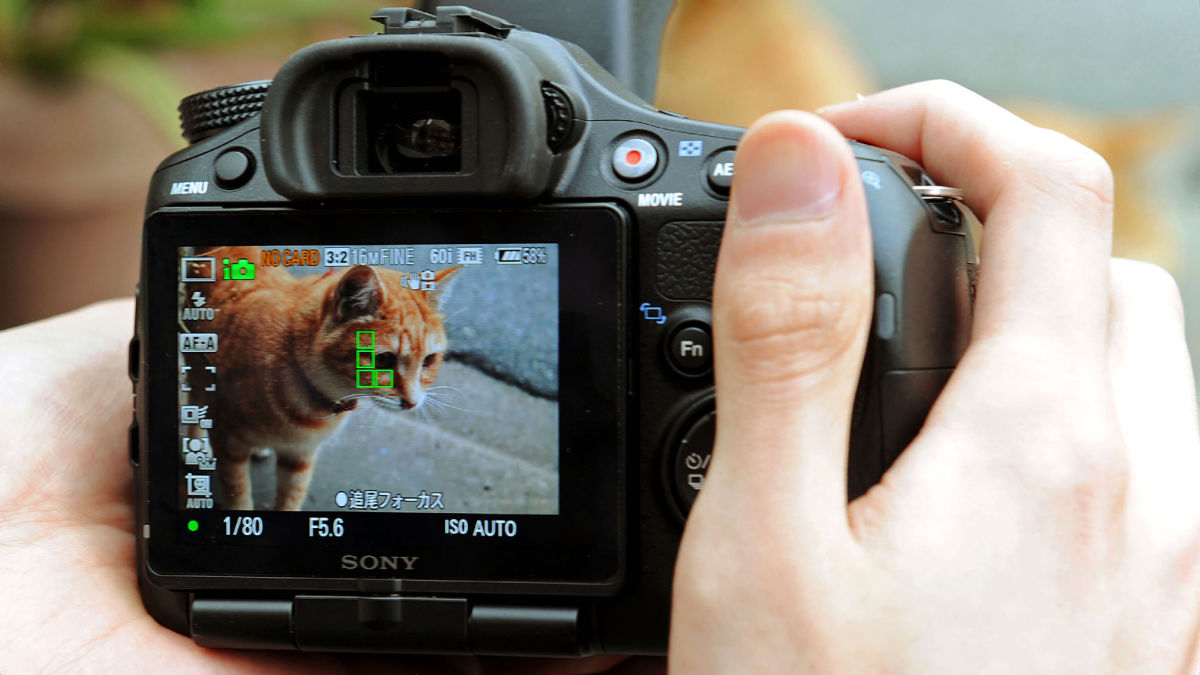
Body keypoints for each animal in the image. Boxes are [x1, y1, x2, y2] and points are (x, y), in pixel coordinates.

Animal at [196, 247, 458, 509]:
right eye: (383, 360)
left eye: (429, 360)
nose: (412, 403)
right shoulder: (229, 443)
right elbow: (238, 494)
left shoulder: (301, 456)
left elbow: (291, 497)